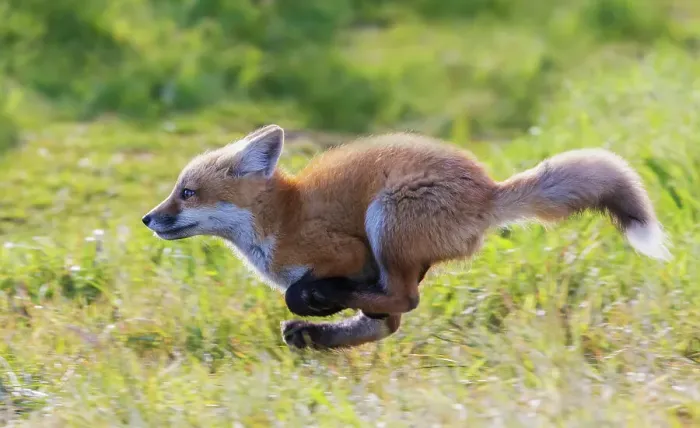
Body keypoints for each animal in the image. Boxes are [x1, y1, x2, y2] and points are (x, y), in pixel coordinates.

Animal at [142, 124, 671, 350]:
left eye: (187, 193)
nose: (148, 219)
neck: (279, 220)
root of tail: (488, 190)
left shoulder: (348, 251)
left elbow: (304, 290)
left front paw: (315, 298)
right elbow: (378, 320)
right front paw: (321, 321)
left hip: (386, 221)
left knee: (403, 301)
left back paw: (319, 312)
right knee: (392, 315)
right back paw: (317, 334)